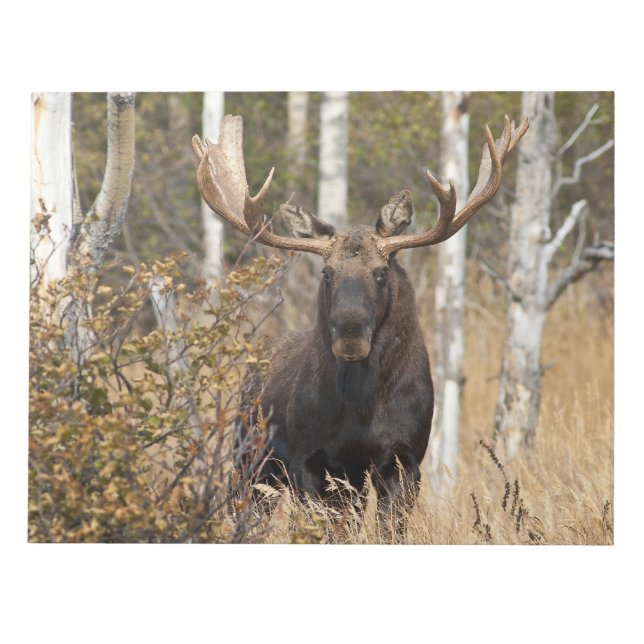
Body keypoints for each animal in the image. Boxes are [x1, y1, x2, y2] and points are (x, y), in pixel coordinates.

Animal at [192, 113, 528, 539]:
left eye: (381, 271)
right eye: (327, 272)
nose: (350, 335)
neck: (361, 409)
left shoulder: (404, 460)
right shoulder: (311, 462)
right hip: (250, 458)